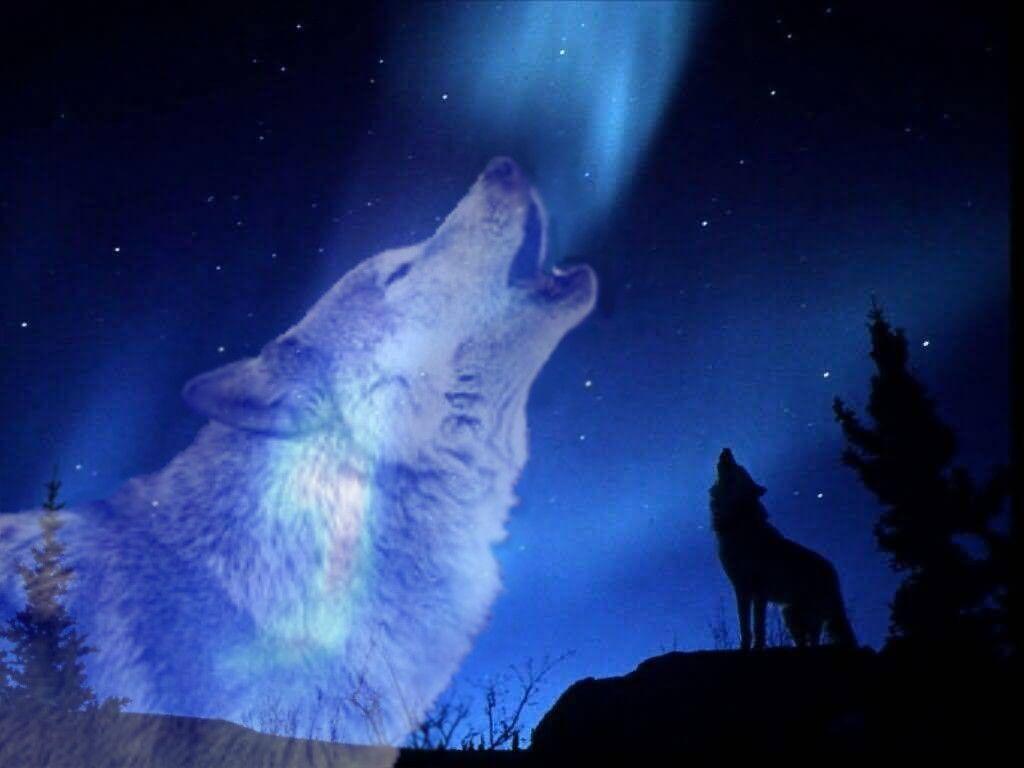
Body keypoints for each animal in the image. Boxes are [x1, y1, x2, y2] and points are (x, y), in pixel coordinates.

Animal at [710, 448, 856, 650]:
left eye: (739, 468)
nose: (727, 449)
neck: (739, 522)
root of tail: (834, 574)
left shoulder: (759, 591)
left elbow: (758, 627)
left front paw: (758, 647)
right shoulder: (741, 589)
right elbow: (745, 627)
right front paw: (745, 648)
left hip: (806, 615)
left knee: (815, 636)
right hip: (790, 616)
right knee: (804, 640)